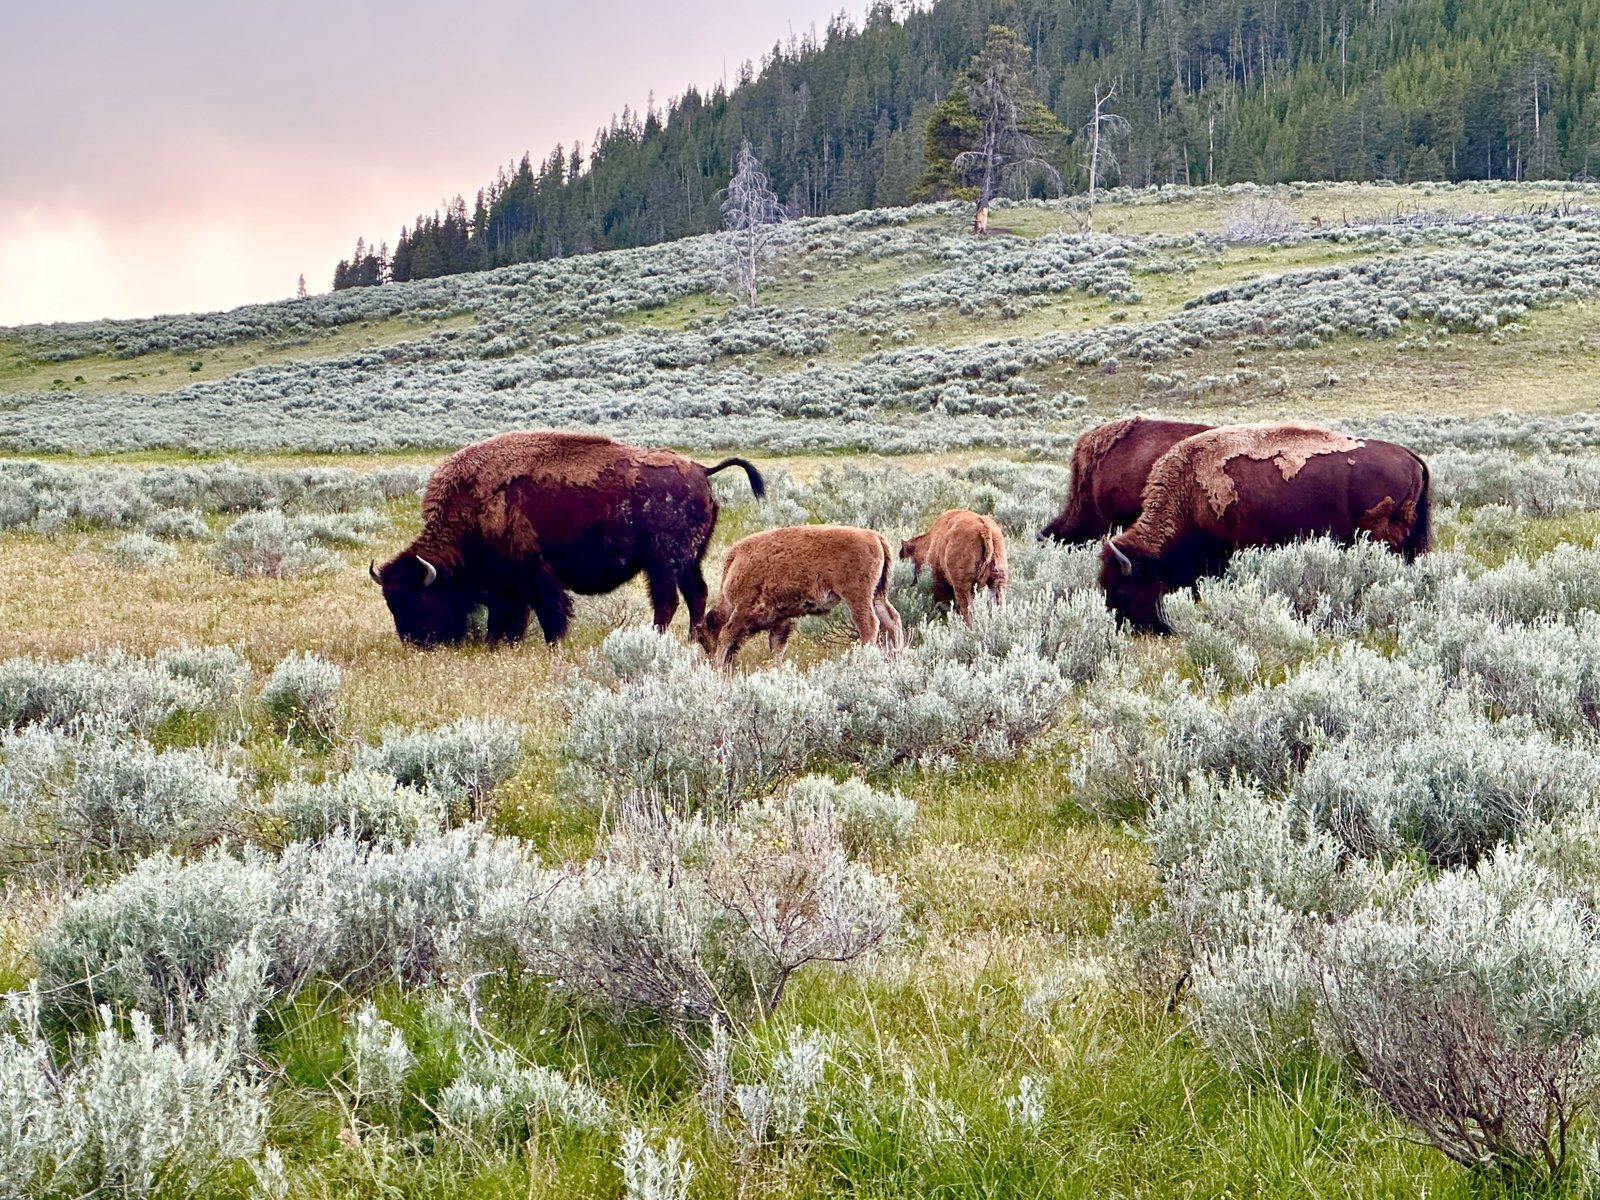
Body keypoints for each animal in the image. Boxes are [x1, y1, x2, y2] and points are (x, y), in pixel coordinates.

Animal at [371, 431, 764, 646]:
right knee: (696, 594)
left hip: (662, 562)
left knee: (667, 602)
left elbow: (549, 612)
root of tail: (700, 469)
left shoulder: (535, 575)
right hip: (687, 560)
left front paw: (551, 644)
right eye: (391, 603)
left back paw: (659, 639)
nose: (415, 642)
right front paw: (499, 644)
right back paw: (695, 640)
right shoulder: (509, 586)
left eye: (421, 599)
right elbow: (509, 617)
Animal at [694, 525, 905, 669]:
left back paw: (864, 658)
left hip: (857, 596)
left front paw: (717, 666)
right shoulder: (780, 621)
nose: (704, 661)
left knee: (869, 623)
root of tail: (874, 536)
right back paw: (896, 656)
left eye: (702, 638)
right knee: (891, 619)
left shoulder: (743, 609)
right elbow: (777, 647)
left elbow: (726, 634)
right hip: (877, 594)